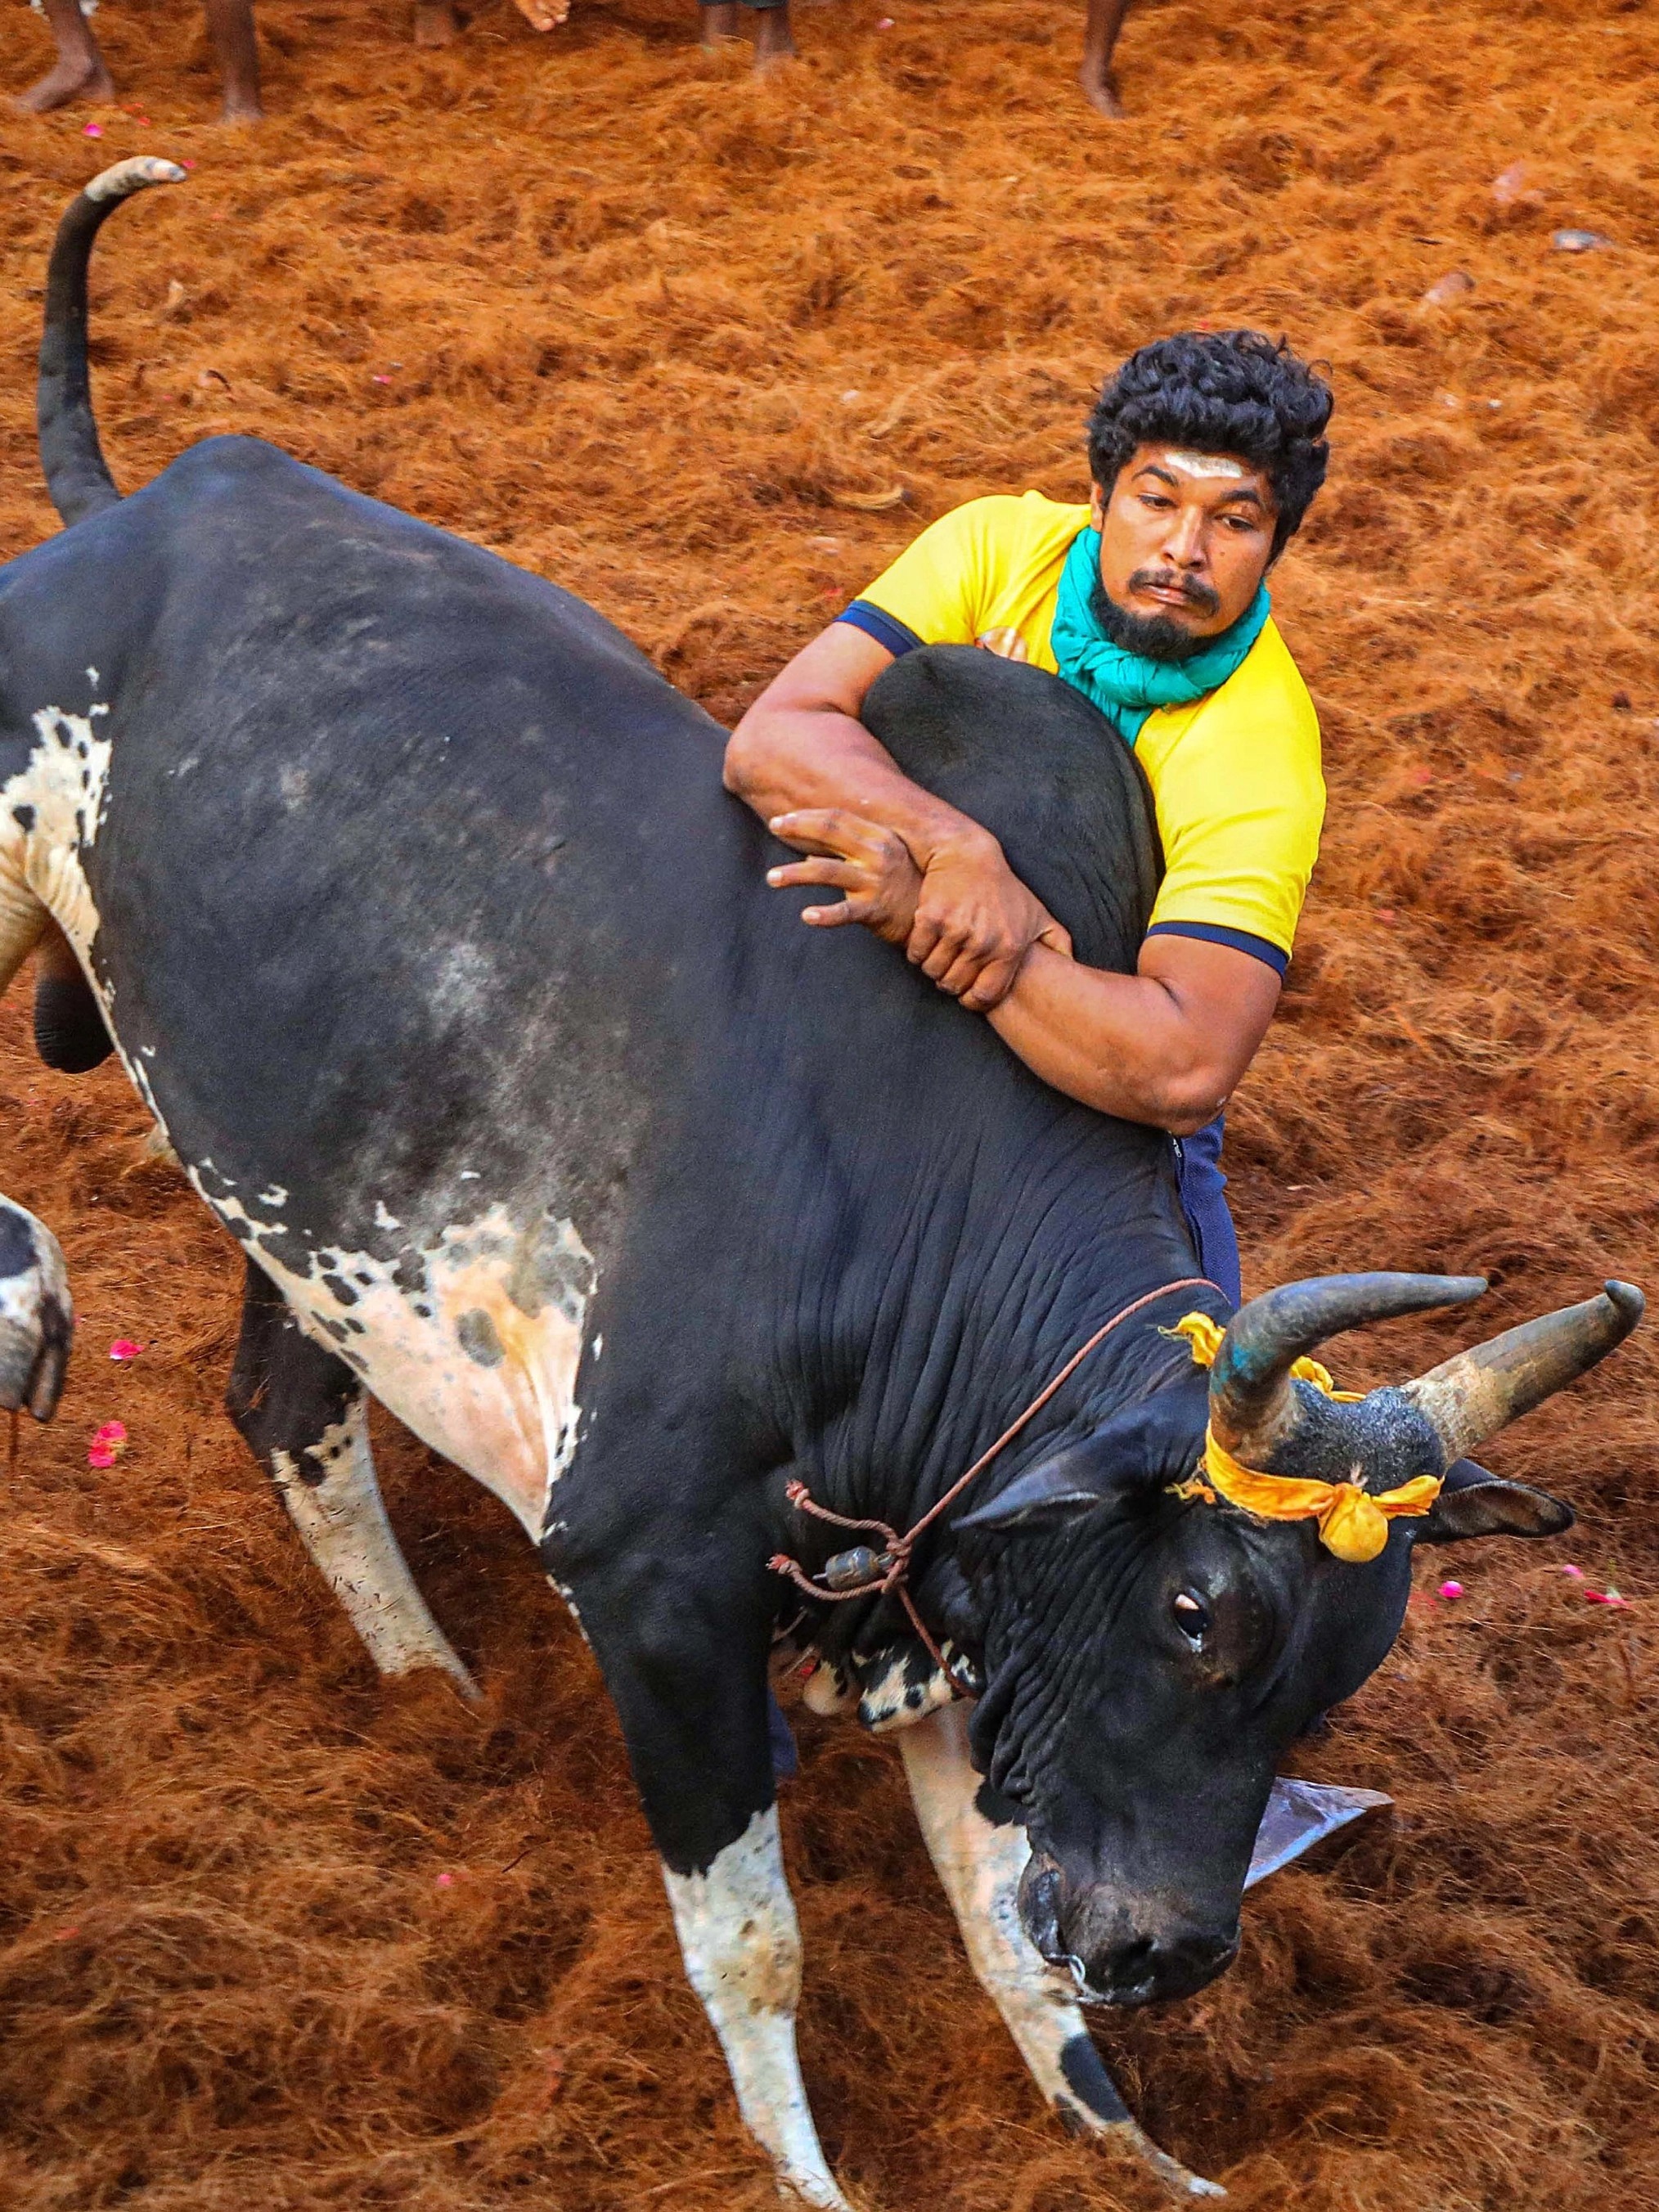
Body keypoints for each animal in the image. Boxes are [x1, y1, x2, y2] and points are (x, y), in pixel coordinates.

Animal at [0, 159, 1642, 2206]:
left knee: (286, 1401)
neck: (895, 1231)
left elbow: (1005, 1918)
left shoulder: (952, 1609)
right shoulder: (651, 1578)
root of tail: (140, 510)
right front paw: (805, 2170)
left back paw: (430, 1694)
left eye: (1352, 1659)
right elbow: (755, 1934)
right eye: (1200, 1612)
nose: (1172, 1949)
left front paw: (1124, 2134)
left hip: (320, 1176)